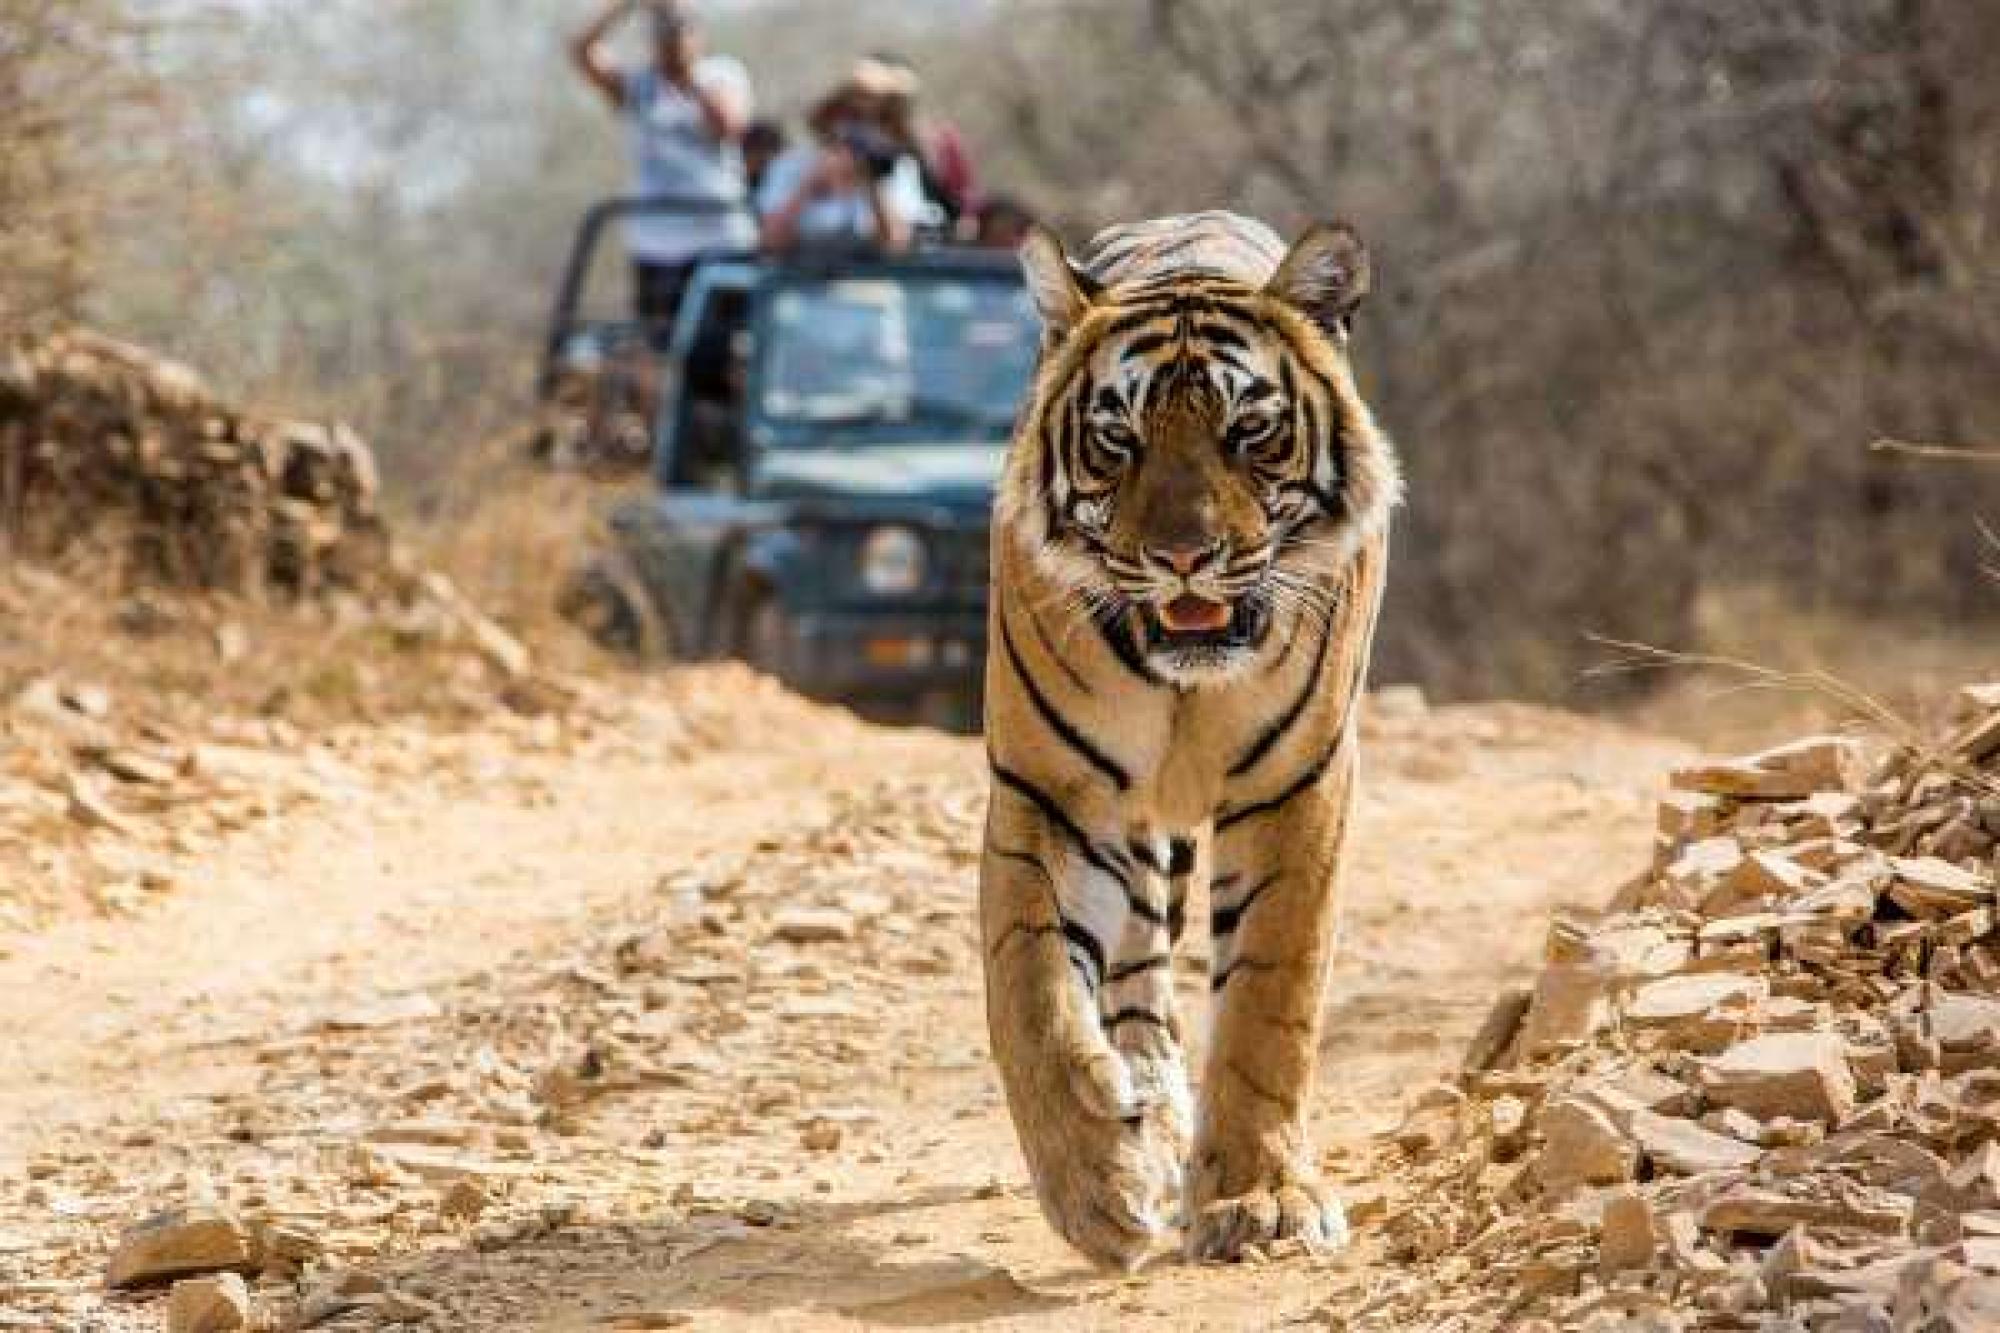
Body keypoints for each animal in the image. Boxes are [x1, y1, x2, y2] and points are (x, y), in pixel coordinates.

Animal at [976, 210, 1400, 1264]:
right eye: (1117, 438)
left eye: (1249, 430)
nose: (1181, 557)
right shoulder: (1052, 791)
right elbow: (1031, 989)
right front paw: (1096, 1183)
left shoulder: (1299, 784)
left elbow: (1268, 1003)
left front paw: (1261, 1197)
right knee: (1136, 978)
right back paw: (1147, 1118)